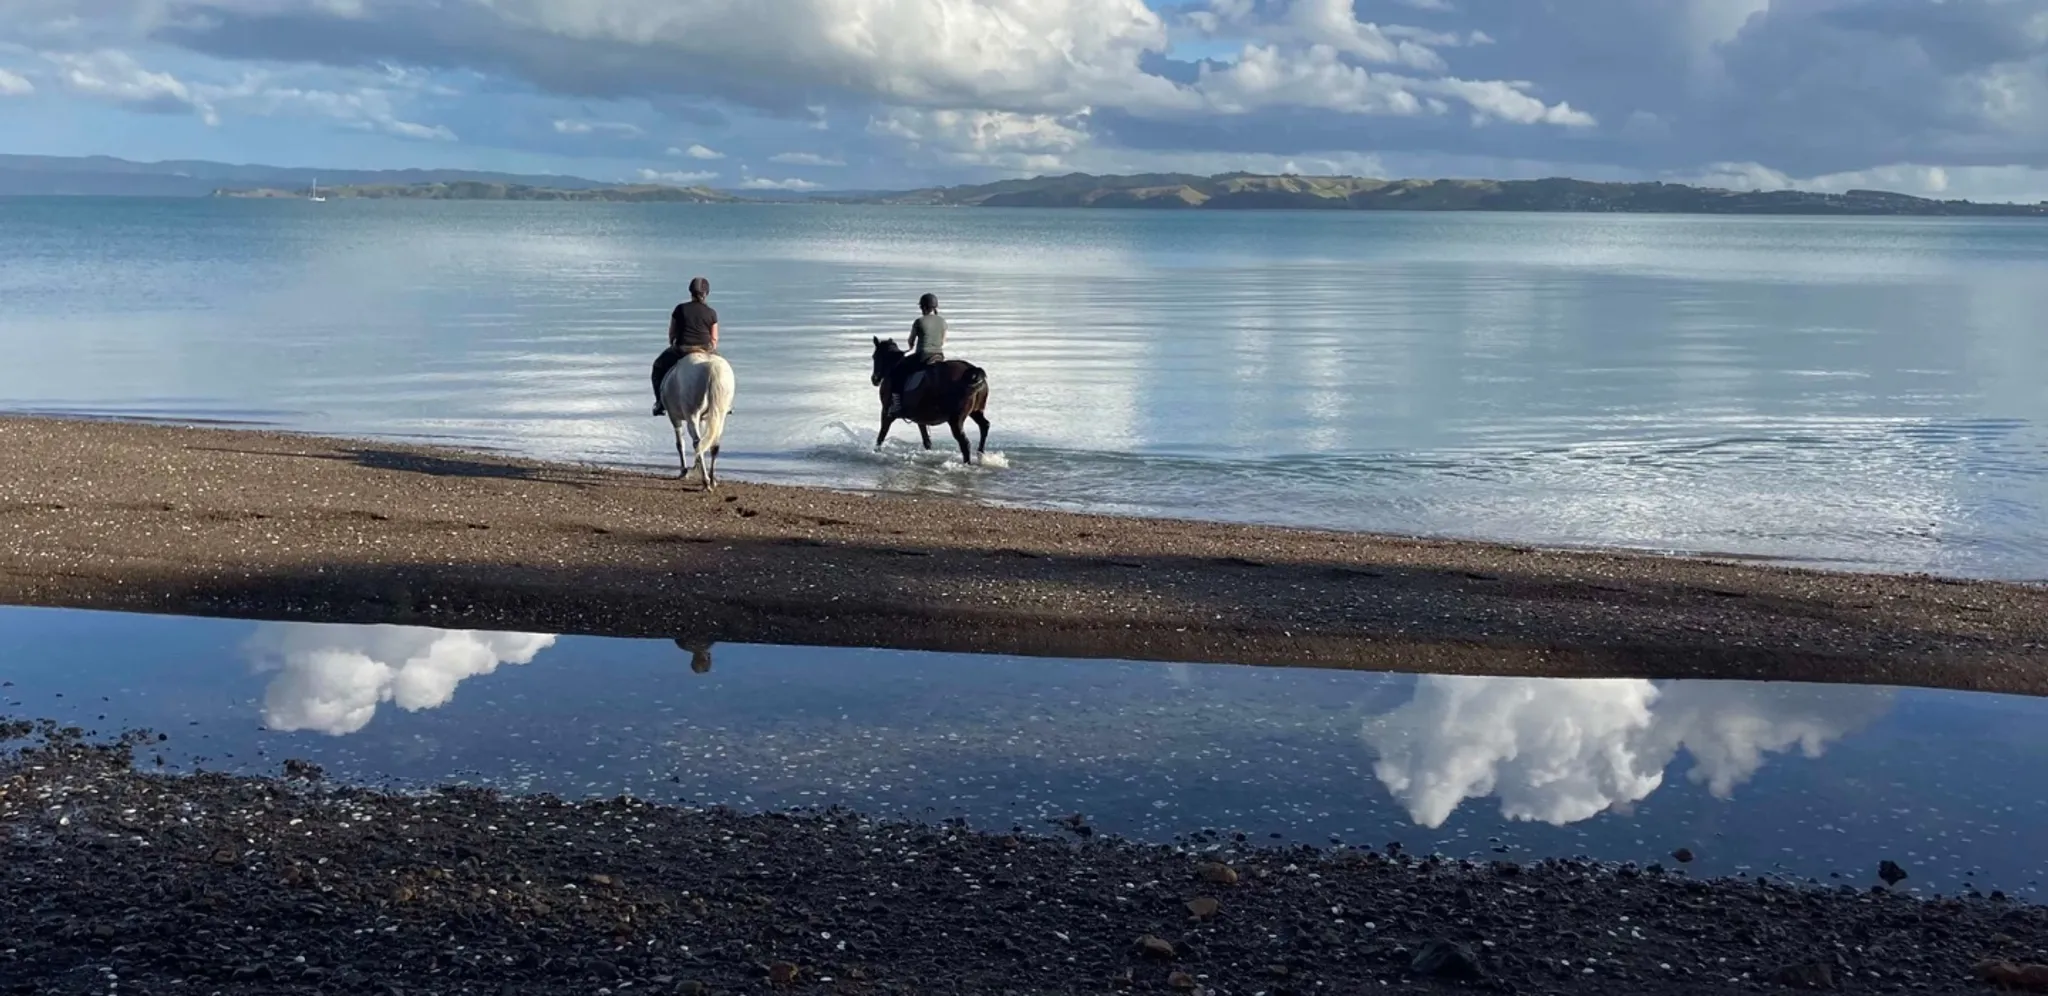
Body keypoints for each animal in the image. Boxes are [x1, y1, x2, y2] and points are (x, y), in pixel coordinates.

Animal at [658, 351, 736, 489]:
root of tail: (711, 367)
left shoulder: (674, 418)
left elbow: (680, 444)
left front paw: (684, 471)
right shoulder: (704, 419)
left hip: (692, 415)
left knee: (697, 443)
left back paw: (705, 481)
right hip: (720, 415)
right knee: (713, 445)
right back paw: (711, 479)